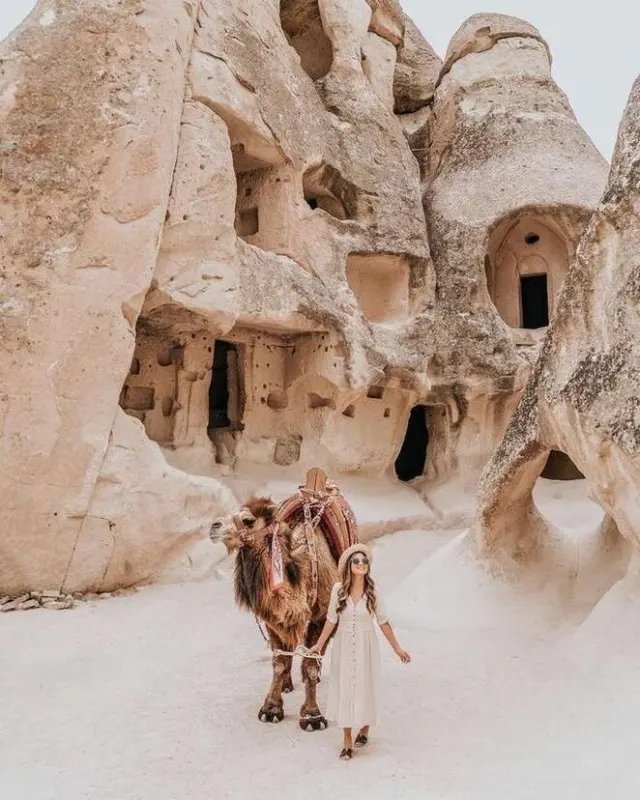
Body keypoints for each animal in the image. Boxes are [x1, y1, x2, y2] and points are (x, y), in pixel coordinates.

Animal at [210, 469, 358, 731]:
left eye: (248, 520)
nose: (213, 526)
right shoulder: (272, 618)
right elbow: (279, 663)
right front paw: (271, 709)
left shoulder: (322, 616)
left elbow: (309, 663)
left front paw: (312, 716)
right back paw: (288, 684)